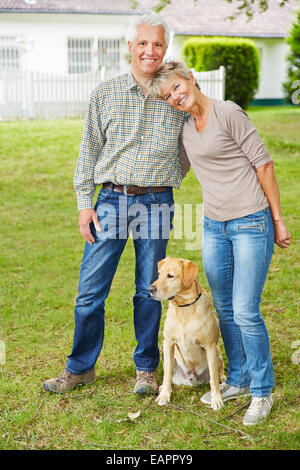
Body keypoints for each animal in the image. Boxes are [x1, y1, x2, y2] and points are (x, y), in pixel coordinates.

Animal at [150, 258, 225, 410]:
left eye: (170, 276)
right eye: (159, 274)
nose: (150, 289)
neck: (184, 308)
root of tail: (192, 379)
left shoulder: (209, 345)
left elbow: (214, 379)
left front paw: (216, 399)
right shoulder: (168, 343)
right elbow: (167, 374)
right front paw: (164, 395)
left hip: (217, 352)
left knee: (220, 376)